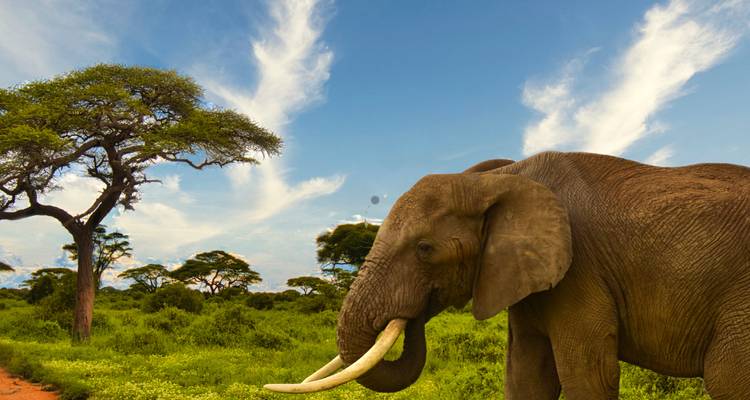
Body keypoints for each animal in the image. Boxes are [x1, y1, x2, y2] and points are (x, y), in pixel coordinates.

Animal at [266, 151, 750, 399]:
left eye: (425, 249)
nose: (414, 313)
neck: (498, 178)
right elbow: (525, 376)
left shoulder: (581, 269)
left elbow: (587, 375)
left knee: (727, 378)